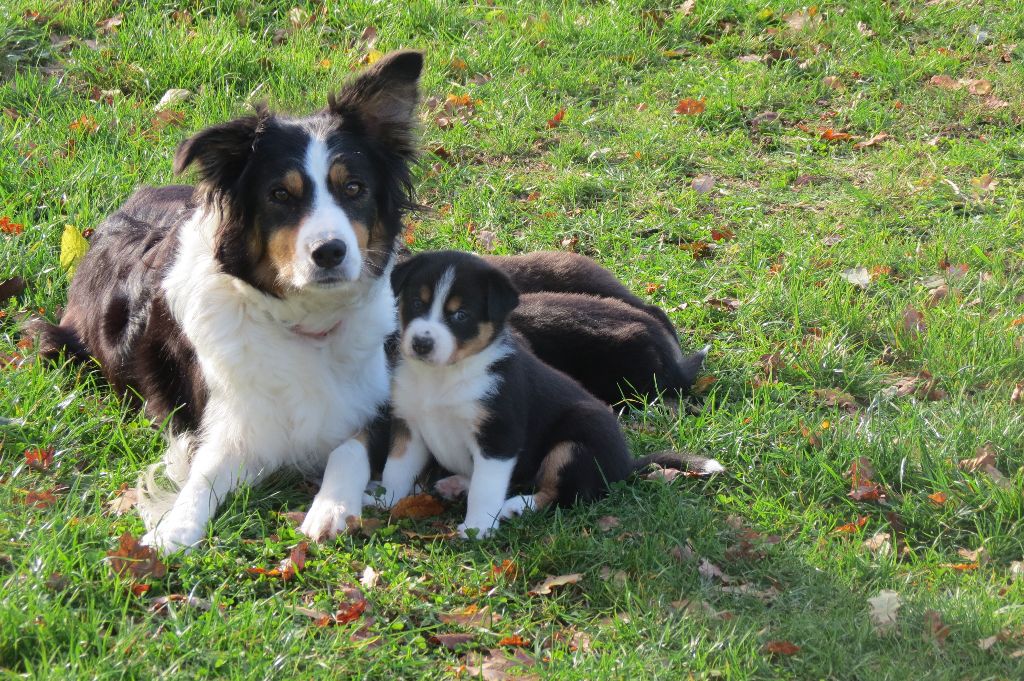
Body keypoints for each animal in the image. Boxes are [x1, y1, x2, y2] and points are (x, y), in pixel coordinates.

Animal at [30, 51, 423, 552]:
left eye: (353, 188)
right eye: (280, 194)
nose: (330, 252)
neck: (303, 321)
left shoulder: (380, 405)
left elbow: (347, 449)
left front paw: (331, 508)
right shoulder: (228, 424)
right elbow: (203, 475)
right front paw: (175, 528)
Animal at [370, 251, 720, 540]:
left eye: (461, 315)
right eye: (416, 304)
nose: (421, 344)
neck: (442, 377)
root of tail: (625, 466)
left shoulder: (500, 433)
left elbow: (487, 487)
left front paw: (477, 527)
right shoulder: (410, 425)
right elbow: (396, 469)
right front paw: (384, 498)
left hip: (575, 441)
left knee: (561, 494)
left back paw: (513, 507)